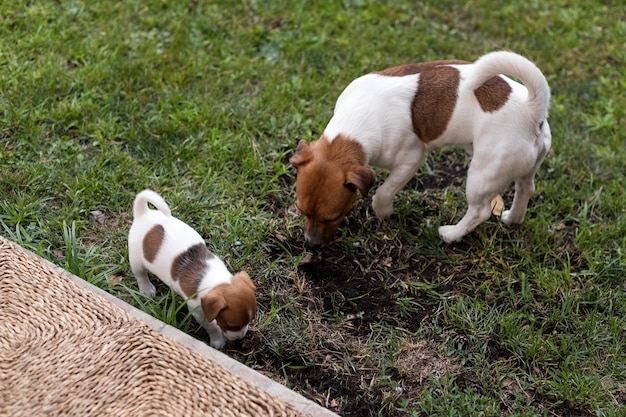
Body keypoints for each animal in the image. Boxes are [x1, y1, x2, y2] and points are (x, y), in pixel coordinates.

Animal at [127, 190, 256, 350]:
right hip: (136, 259)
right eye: (231, 326)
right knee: (140, 275)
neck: (214, 278)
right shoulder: (199, 312)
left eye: (251, 320)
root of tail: (143, 213)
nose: (240, 338)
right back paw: (146, 289)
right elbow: (212, 327)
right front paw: (218, 340)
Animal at [290, 51, 548, 247]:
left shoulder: (410, 161)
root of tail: (532, 109)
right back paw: (512, 219)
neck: (355, 124)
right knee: (526, 187)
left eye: (332, 217)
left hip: (482, 175)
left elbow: (382, 192)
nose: (310, 245)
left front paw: (384, 213)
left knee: (479, 211)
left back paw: (451, 234)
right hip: (524, 166)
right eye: (302, 212)